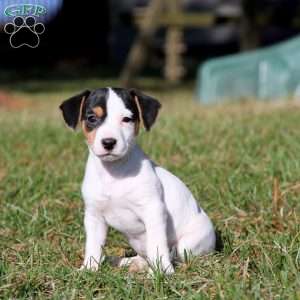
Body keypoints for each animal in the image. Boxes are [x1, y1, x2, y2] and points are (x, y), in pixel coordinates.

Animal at [59, 87, 216, 274]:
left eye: (126, 119)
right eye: (91, 118)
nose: (109, 142)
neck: (114, 173)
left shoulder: (153, 210)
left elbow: (157, 244)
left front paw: (162, 272)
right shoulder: (94, 216)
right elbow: (93, 245)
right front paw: (89, 269)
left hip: (188, 245)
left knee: (174, 255)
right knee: (145, 256)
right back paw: (126, 262)